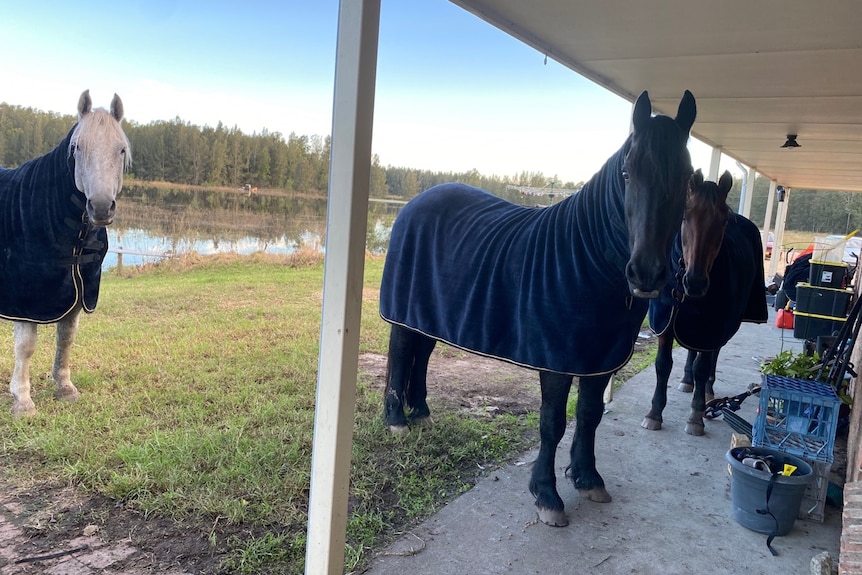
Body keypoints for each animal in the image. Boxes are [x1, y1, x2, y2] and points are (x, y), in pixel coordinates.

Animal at [0, 89, 130, 414]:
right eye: (77, 148)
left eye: (121, 150)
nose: (100, 207)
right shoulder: (25, 298)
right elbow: (26, 346)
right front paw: (22, 400)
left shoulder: (77, 292)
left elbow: (66, 338)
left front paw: (65, 386)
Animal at [382, 90, 700, 528]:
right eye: (626, 173)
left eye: (686, 178)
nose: (647, 273)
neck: (586, 257)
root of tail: (416, 202)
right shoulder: (557, 361)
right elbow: (553, 423)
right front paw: (547, 495)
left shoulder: (597, 358)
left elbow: (590, 415)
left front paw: (587, 477)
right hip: (405, 313)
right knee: (401, 351)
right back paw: (397, 420)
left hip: (429, 313)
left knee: (423, 352)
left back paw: (422, 411)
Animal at [648, 171, 768, 436]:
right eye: (685, 216)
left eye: (723, 220)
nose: (695, 282)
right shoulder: (667, 321)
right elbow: (663, 365)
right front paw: (654, 413)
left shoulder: (711, 327)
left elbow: (703, 367)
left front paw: (696, 415)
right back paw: (687, 381)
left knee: (713, 354)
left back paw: (708, 391)